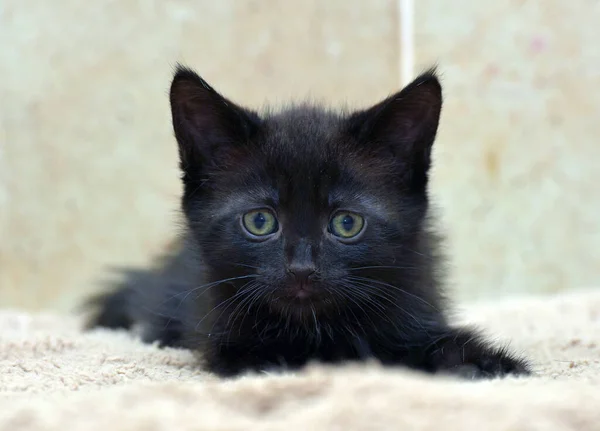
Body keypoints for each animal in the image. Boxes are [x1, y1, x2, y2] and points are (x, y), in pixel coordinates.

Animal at [85, 66, 528, 380]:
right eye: (260, 221)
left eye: (346, 223)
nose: (301, 268)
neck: (317, 329)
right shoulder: (223, 334)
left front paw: (481, 363)